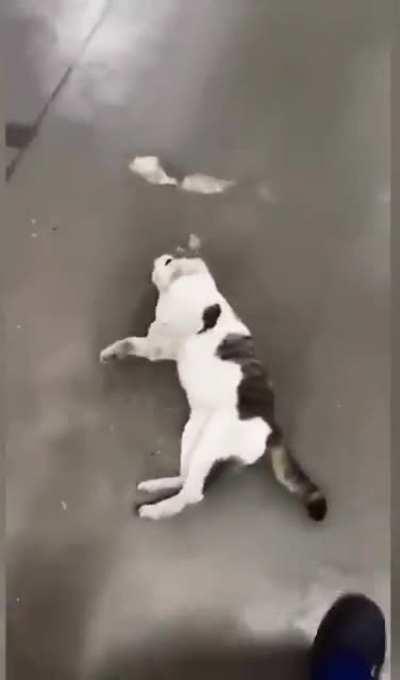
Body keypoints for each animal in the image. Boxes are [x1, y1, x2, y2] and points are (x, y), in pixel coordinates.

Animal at [100, 243, 327, 522]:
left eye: (168, 261)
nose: (160, 257)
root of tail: (274, 427)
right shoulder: (165, 346)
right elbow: (133, 342)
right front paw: (113, 352)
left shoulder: (176, 330)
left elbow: (154, 331)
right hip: (193, 434)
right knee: (185, 477)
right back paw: (157, 486)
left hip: (210, 444)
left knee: (192, 494)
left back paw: (155, 510)